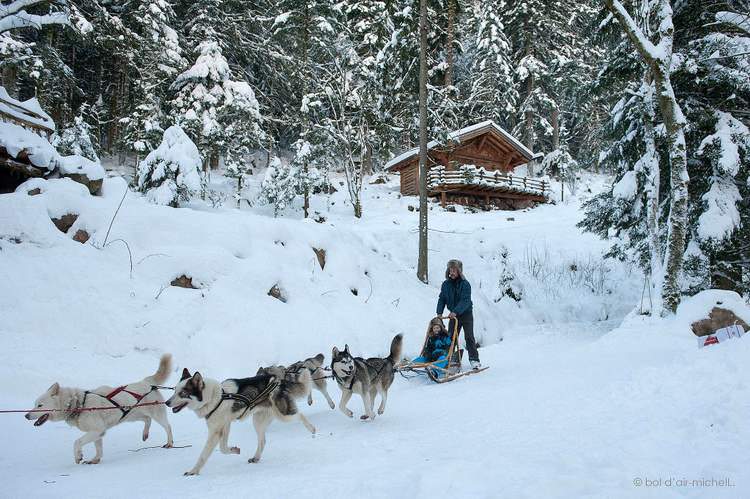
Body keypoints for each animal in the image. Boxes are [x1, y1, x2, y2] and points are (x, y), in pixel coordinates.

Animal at [24, 356, 175, 464]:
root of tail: (146, 382)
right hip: (132, 415)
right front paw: (95, 459)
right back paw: (145, 434)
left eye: (40, 405)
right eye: (34, 404)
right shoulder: (98, 433)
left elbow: (77, 442)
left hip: (156, 414)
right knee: (147, 419)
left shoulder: (96, 430)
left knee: (167, 426)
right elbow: (98, 449)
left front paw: (78, 456)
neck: (80, 404)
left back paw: (169, 443)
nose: (26, 415)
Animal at [166, 368, 316, 476]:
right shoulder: (225, 426)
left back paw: (312, 429)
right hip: (258, 421)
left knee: (300, 415)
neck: (215, 397)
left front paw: (193, 471)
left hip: (283, 415)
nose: (167, 402)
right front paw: (234, 450)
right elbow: (223, 448)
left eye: (182, 393)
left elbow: (204, 455)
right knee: (263, 441)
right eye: (174, 390)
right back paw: (256, 458)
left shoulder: (215, 431)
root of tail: (279, 381)